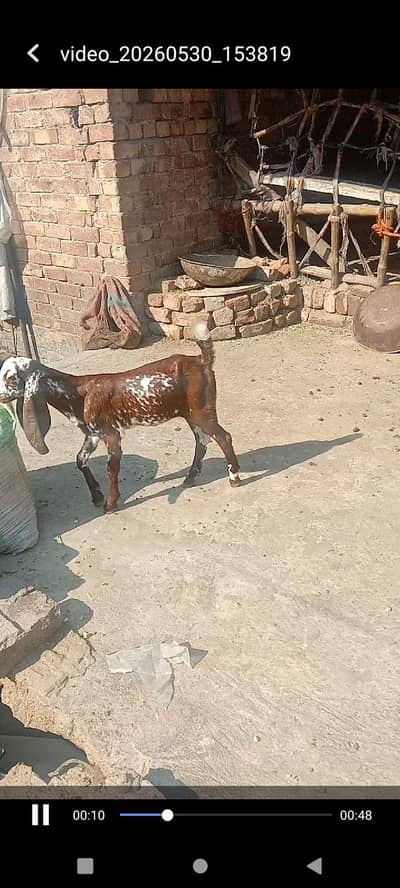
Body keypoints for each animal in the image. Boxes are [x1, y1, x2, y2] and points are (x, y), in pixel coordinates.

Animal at [0, 324, 241, 512]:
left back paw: (234, 478)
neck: (79, 393)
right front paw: (97, 496)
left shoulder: (111, 433)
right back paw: (190, 478)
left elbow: (111, 468)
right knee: (203, 440)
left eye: (12, 378)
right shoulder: (92, 434)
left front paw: (111, 503)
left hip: (202, 410)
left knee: (223, 437)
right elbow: (80, 459)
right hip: (191, 413)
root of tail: (202, 360)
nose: (0, 395)